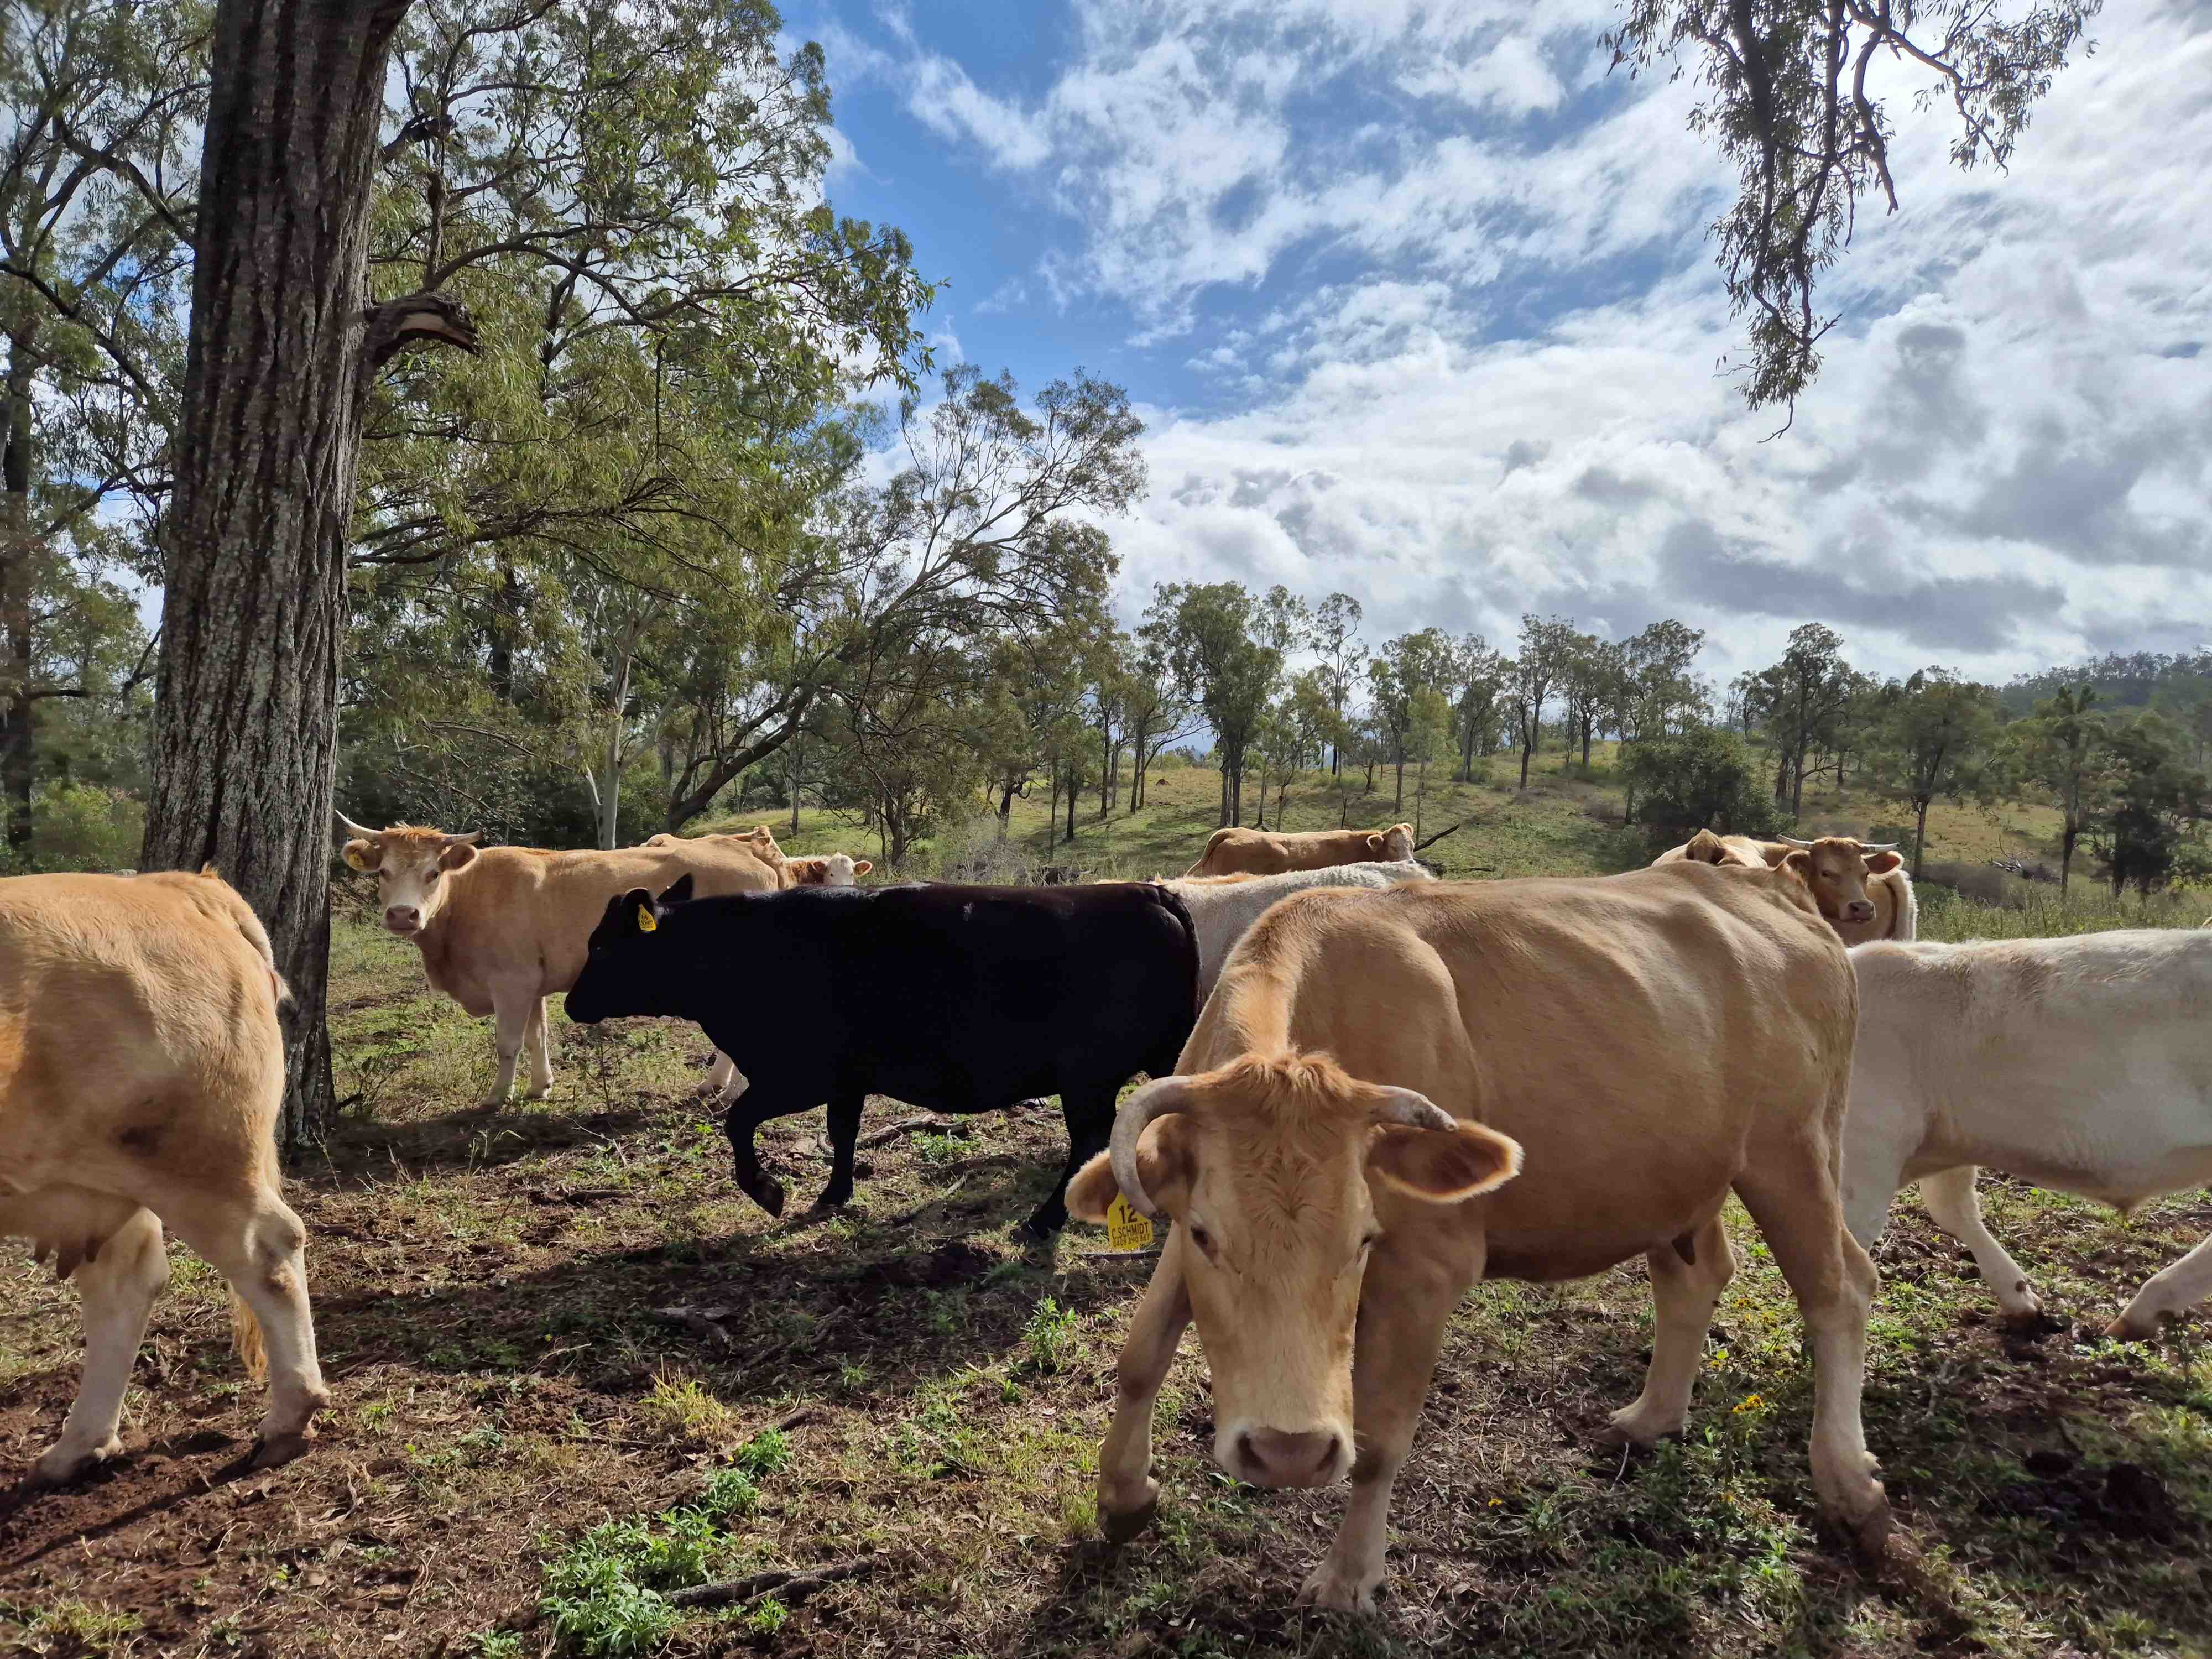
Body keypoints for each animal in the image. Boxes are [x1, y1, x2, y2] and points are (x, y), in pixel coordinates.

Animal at [1, 868, 326, 1487]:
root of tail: (176, 884)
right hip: (104, 1178)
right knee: (124, 1284)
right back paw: (76, 1446)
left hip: (197, 1161)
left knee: (267, 1250)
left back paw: (289, 1417)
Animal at [335, 813, 778, 1107]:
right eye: (384, 872)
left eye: (433, 874)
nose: (402, 915)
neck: (467, 898)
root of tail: (751, 858)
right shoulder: (531, 982)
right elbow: (537, 1036)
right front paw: (539, 1087)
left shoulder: (510, 981)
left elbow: (508, 1042)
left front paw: (497, 1097)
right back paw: (715, 1086)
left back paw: (732, 1091)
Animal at [564, 879, 1201, 1235]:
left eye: (601, 945)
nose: (570, 1003)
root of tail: (1149, 891)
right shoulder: (846, 1079)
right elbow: (841, 1132)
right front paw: (833, 1194)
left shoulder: (798, 1075)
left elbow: (738, 1120)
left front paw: (768, 1191)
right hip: (1151, 1058)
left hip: (1088, 1076)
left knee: (1089, 1139)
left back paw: (1043, 1222)